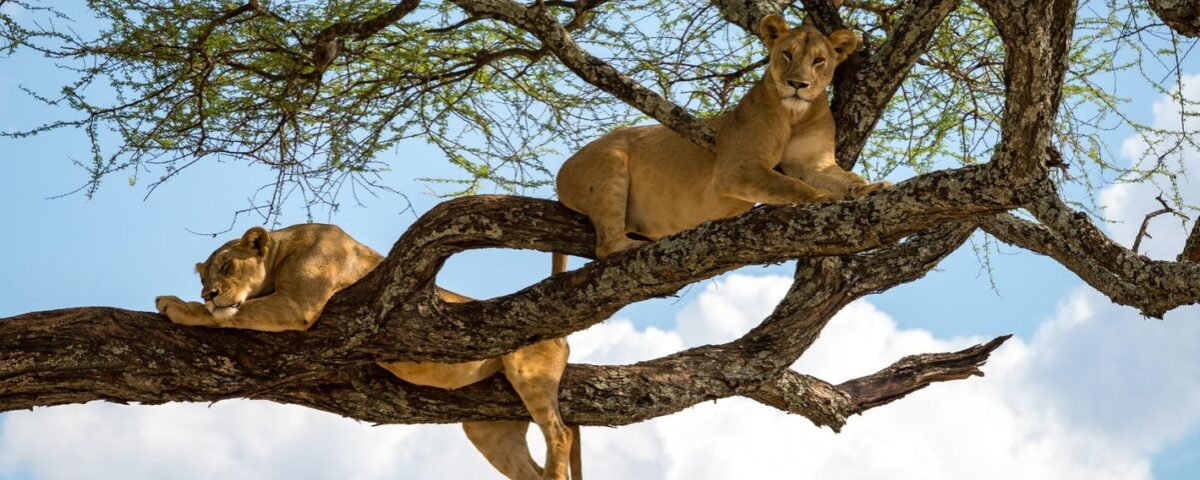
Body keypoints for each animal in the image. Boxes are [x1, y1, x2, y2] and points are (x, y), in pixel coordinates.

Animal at [155, 224, 580, 480]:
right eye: (204, 276)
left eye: (227, 266)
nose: (208, 293)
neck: (281, 253)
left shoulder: (298, 304)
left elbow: (235, 315)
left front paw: (178, 306)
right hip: (489, 428)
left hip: (530, 376)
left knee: (559, 434)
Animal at [556, 14, 890, 257]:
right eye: (787, 54)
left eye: (819, 61)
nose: (798, 84)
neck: (795, 114)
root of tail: (562, 170)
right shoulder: (736, 168)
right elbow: (790, 184)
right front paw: (825, 198)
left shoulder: (813, 163)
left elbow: (846, 177)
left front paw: (872, 187)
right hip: (609, 165)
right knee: (605, 246)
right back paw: (631, 246)